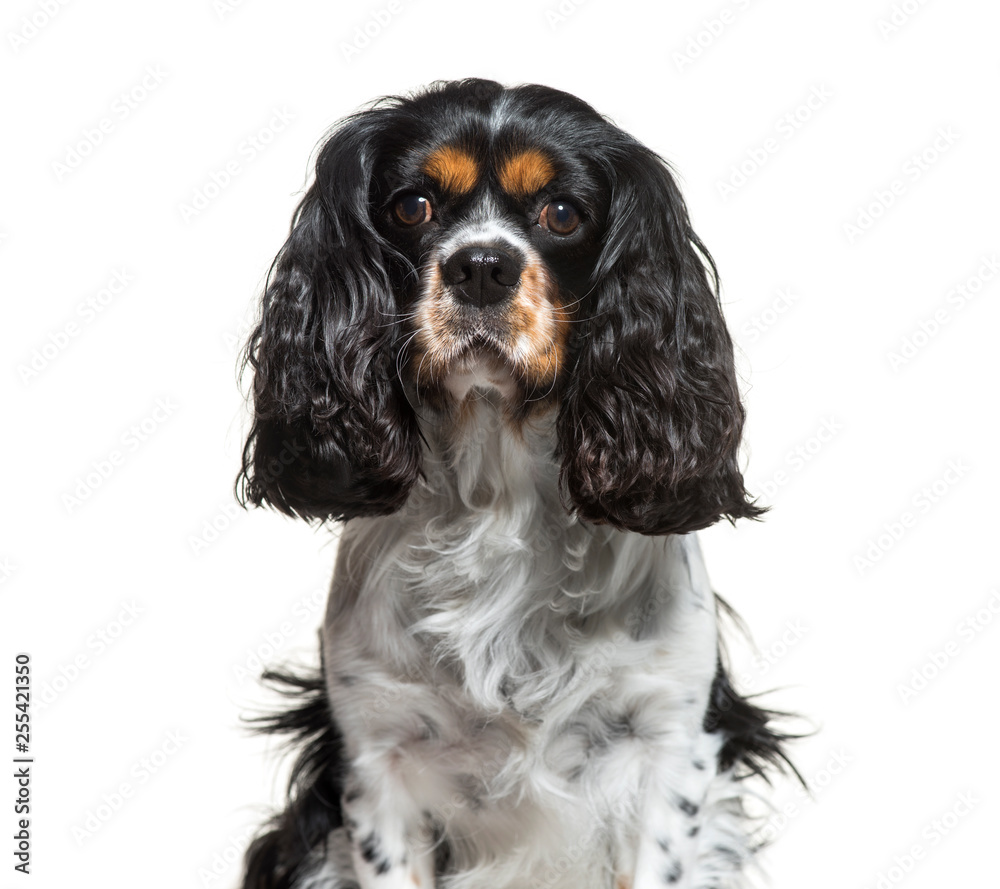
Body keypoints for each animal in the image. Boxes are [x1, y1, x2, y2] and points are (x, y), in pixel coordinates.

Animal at [236, 78, 796, 888]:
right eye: (412, 205)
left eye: (562, 213)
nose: (481, 266)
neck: (497, 493)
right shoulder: (377, 756)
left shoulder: (670, 744)